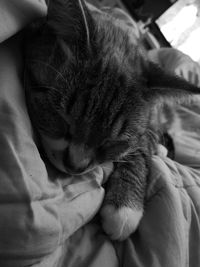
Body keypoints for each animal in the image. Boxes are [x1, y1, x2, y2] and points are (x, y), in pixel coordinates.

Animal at [23, 0, 200, 242]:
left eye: (111, 142)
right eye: (61, 119)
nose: (75, 166)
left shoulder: (142, 131)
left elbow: (140, 150)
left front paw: (124, 208)